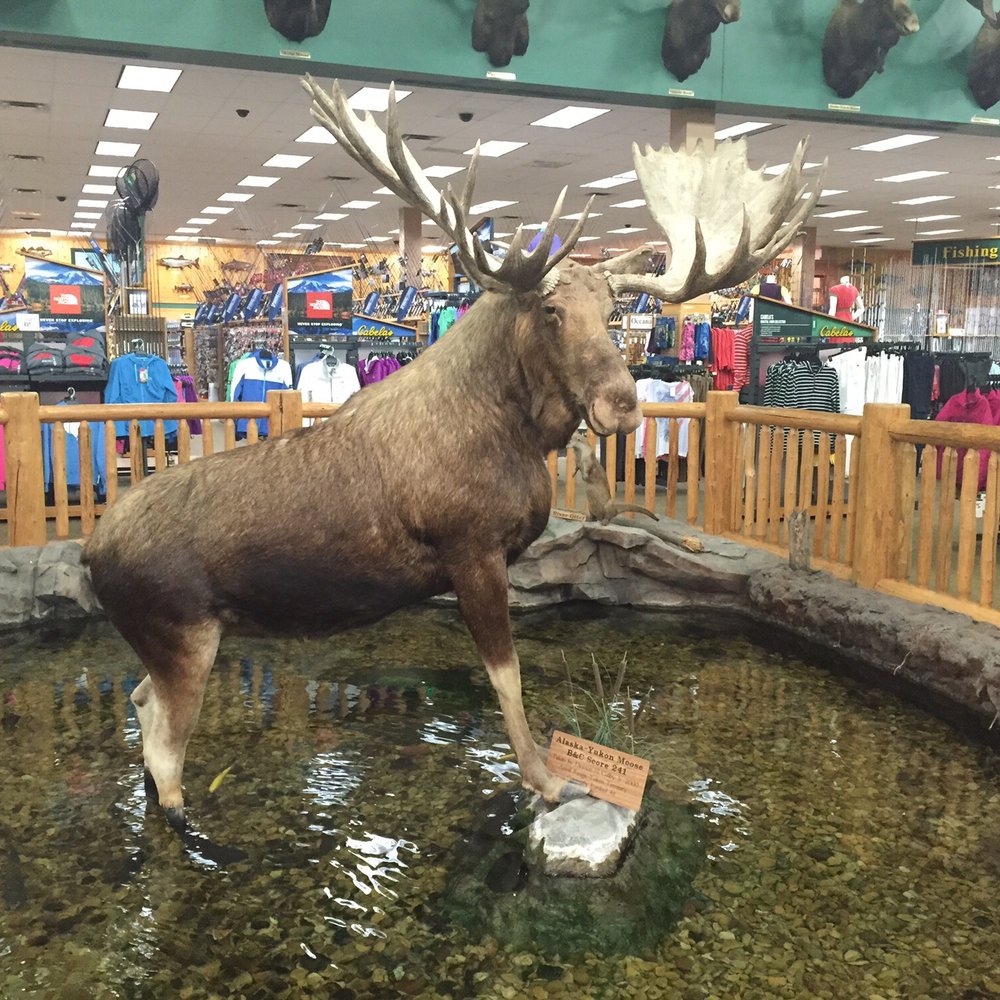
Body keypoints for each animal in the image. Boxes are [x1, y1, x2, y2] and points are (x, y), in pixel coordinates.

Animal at [82, 75, 823, 829]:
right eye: (551, 312)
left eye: (615, 313)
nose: (623, 402)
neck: (515, 437)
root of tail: (90, 554)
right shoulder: (471, 549)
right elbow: (509, 681)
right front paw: (545, 779)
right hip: (182, 634)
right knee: (164, 755)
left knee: (140, 704)